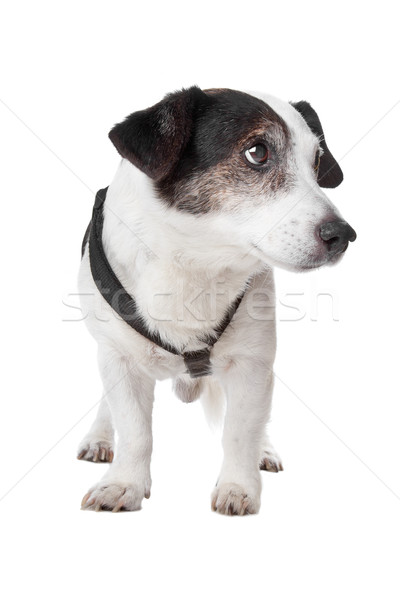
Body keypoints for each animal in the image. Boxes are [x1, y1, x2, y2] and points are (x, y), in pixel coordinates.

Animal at [77, 88, 356, 516]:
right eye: (257, 152)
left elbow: (240, 432)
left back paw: (264, 449)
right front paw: (124, 483)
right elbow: (135, 430)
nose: (343, 234)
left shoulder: (251, 364)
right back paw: (99, 437)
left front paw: (238, 487)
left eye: (316, 162)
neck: (195, 263)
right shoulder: (118, 358)